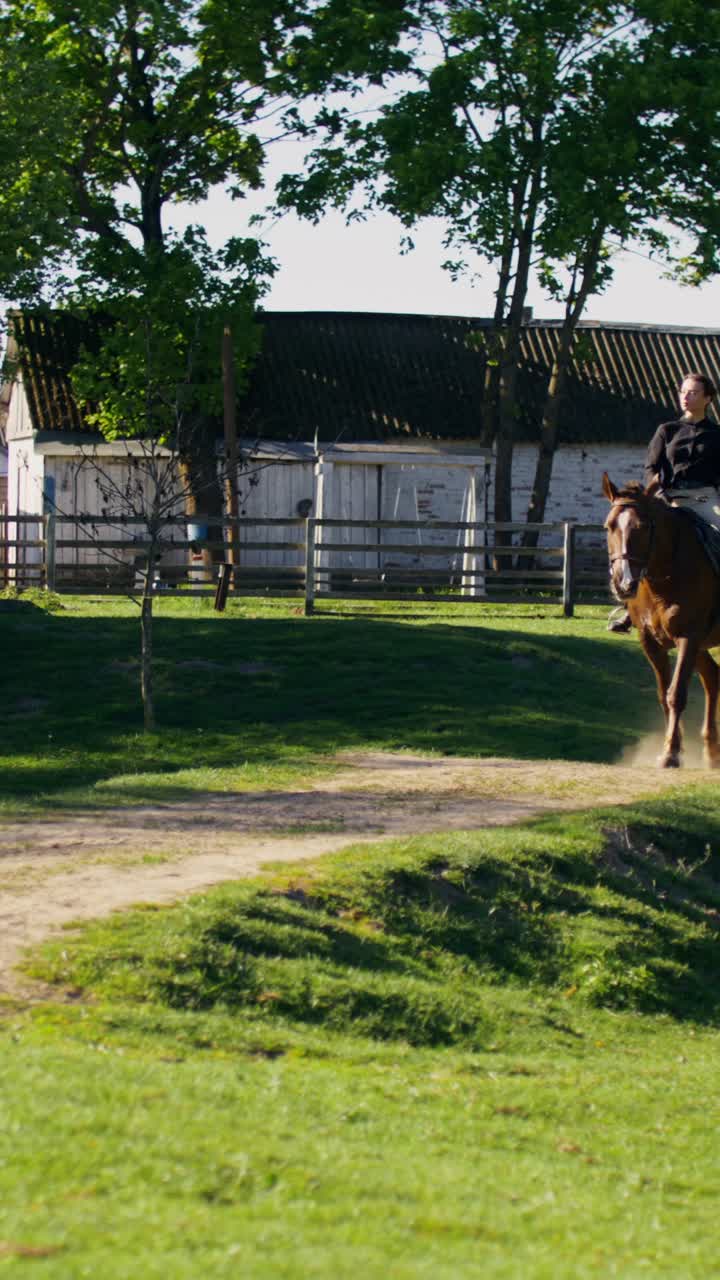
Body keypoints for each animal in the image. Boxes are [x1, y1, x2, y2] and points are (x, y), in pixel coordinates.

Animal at [603, 472, 720, 769]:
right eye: (609, 526)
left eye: (643, 527)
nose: (623, 583)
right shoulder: (651, 642)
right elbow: (663, 695)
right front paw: (673, 747)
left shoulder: (688, 638)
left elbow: (676, 694)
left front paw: (671, 753)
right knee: (712, 676)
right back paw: (712, 752)